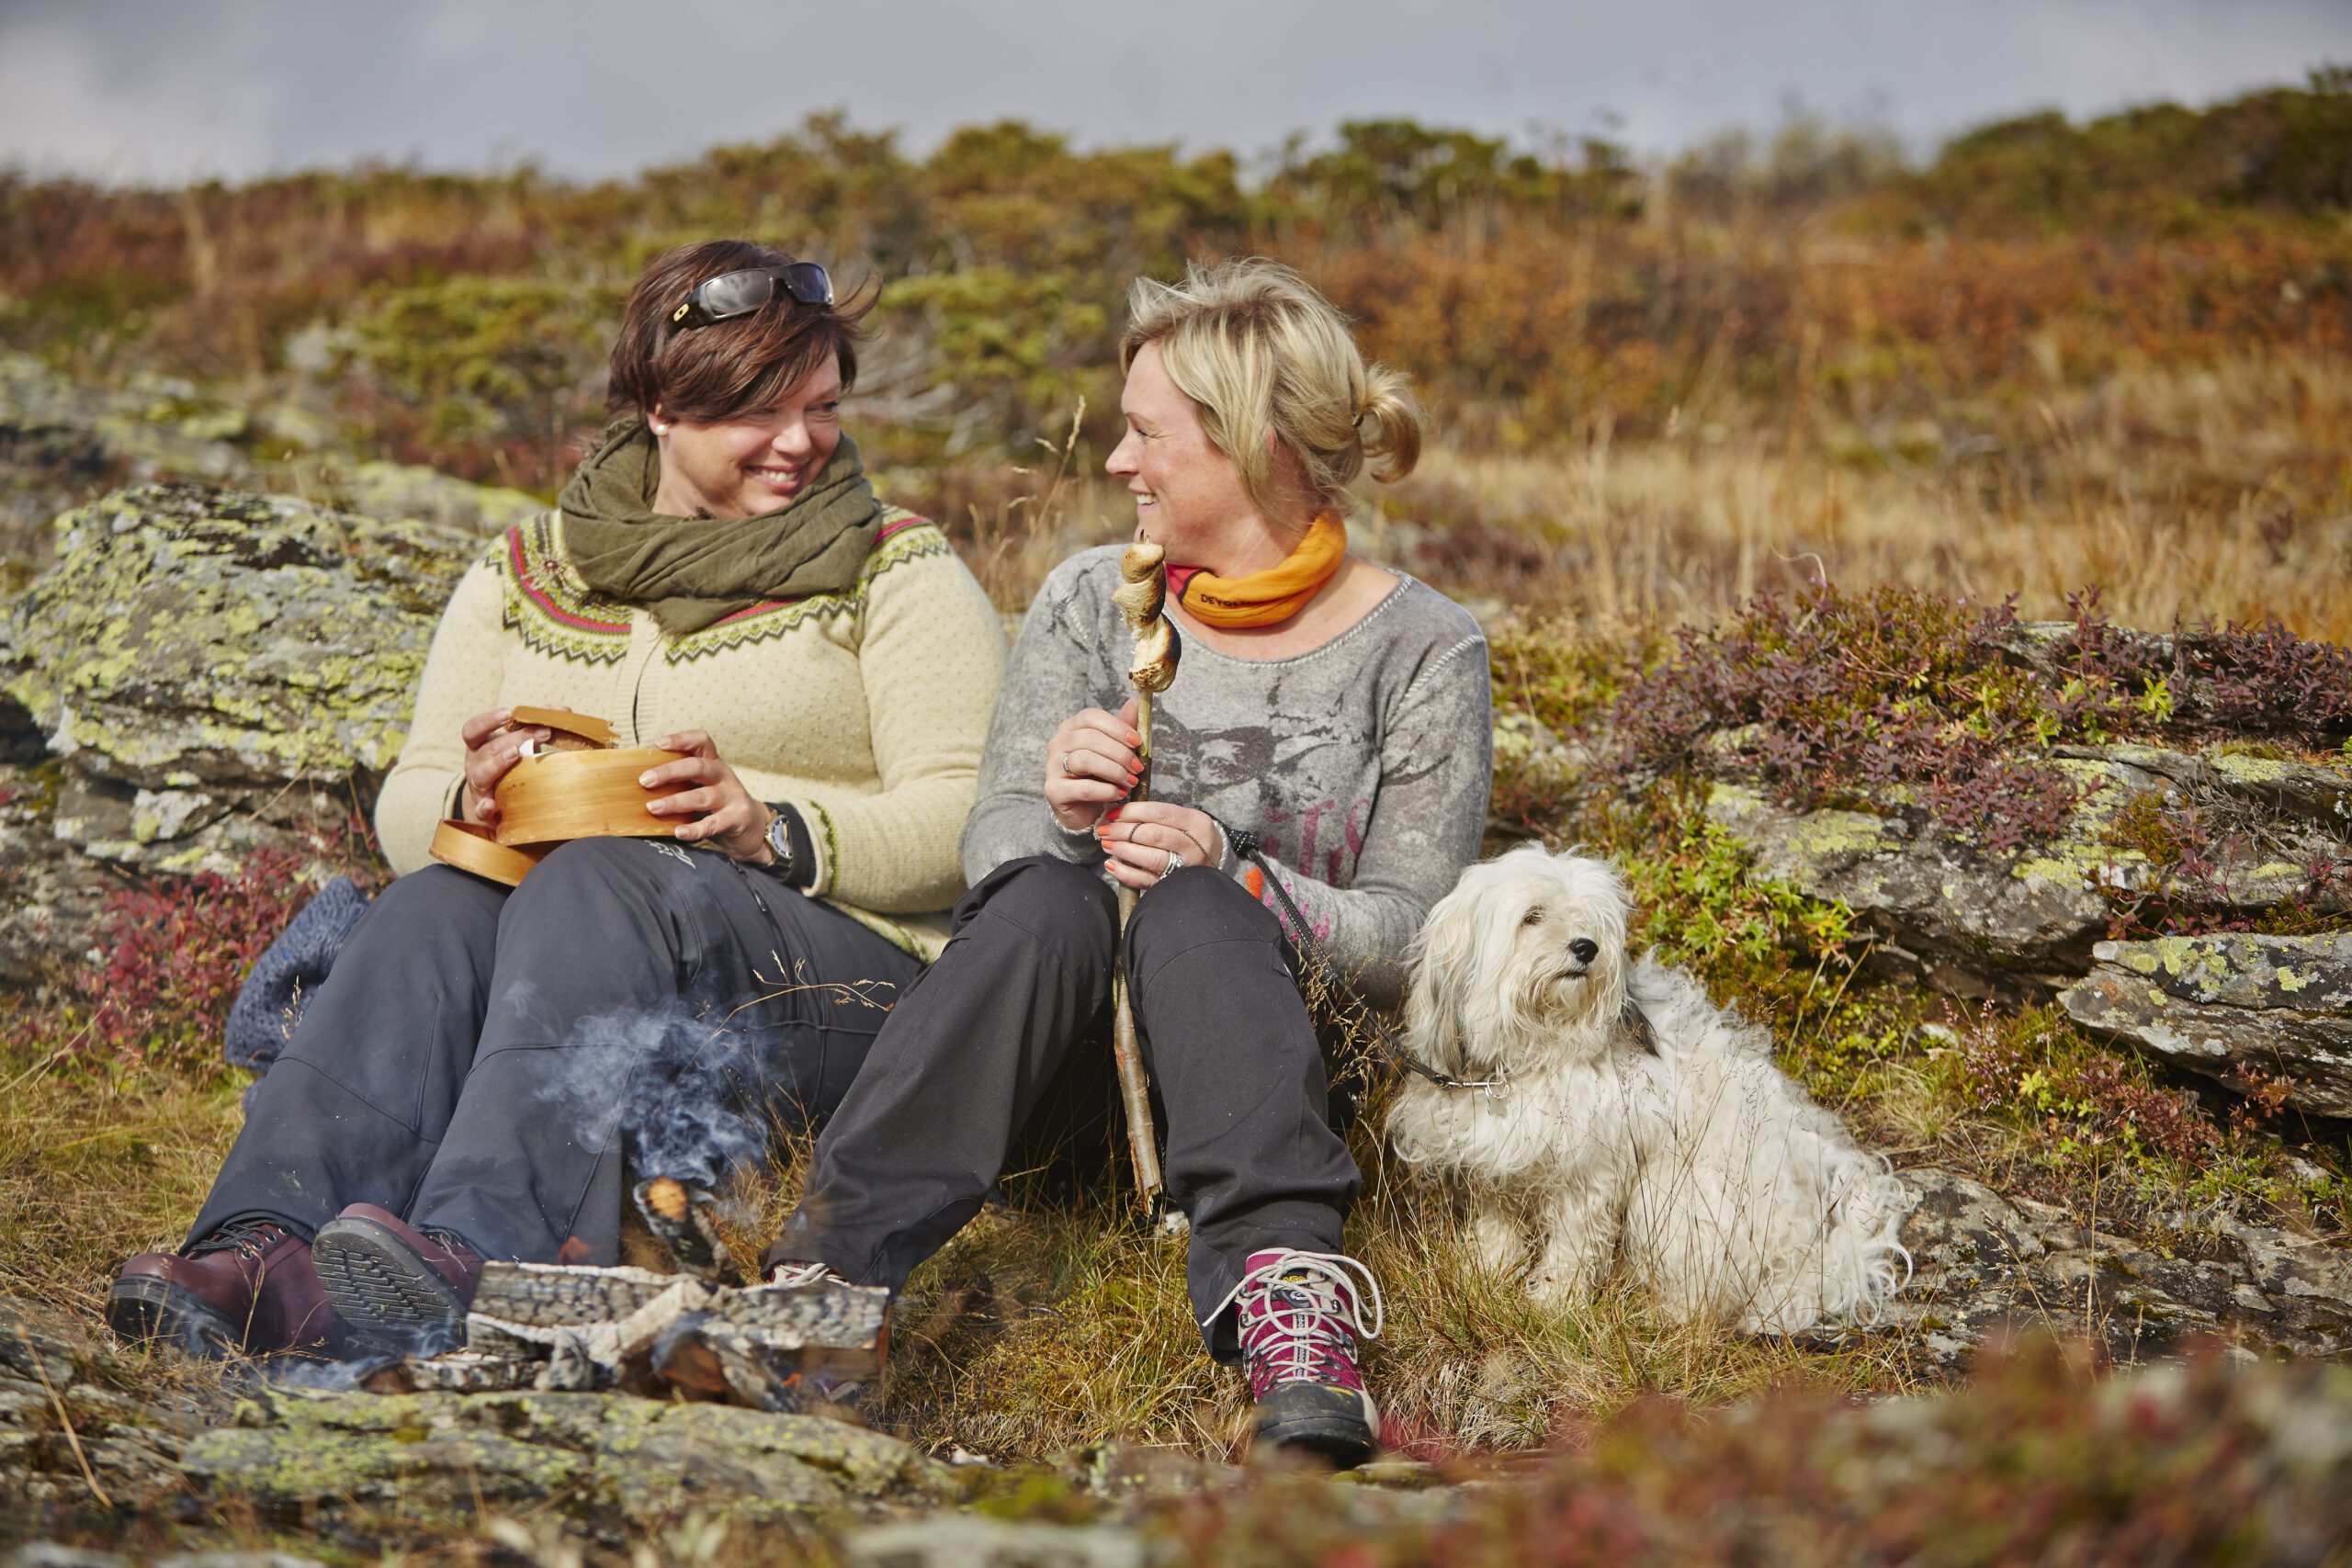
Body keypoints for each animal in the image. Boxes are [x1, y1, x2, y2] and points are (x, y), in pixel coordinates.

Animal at [1374, 846, 1909, 1335]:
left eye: (1591, 919)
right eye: (1532, 916)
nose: (1586, 947)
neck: (1538, 1054)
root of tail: (1807, 1255)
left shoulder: (1590, 1175)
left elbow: (1572, 1246)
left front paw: (1551, 1304)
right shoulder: (1497, 1167)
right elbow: (1496, 1229)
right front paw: (1484, 1274)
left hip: (1675, 1198)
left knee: (1701, 1301)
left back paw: (1653, 1313)